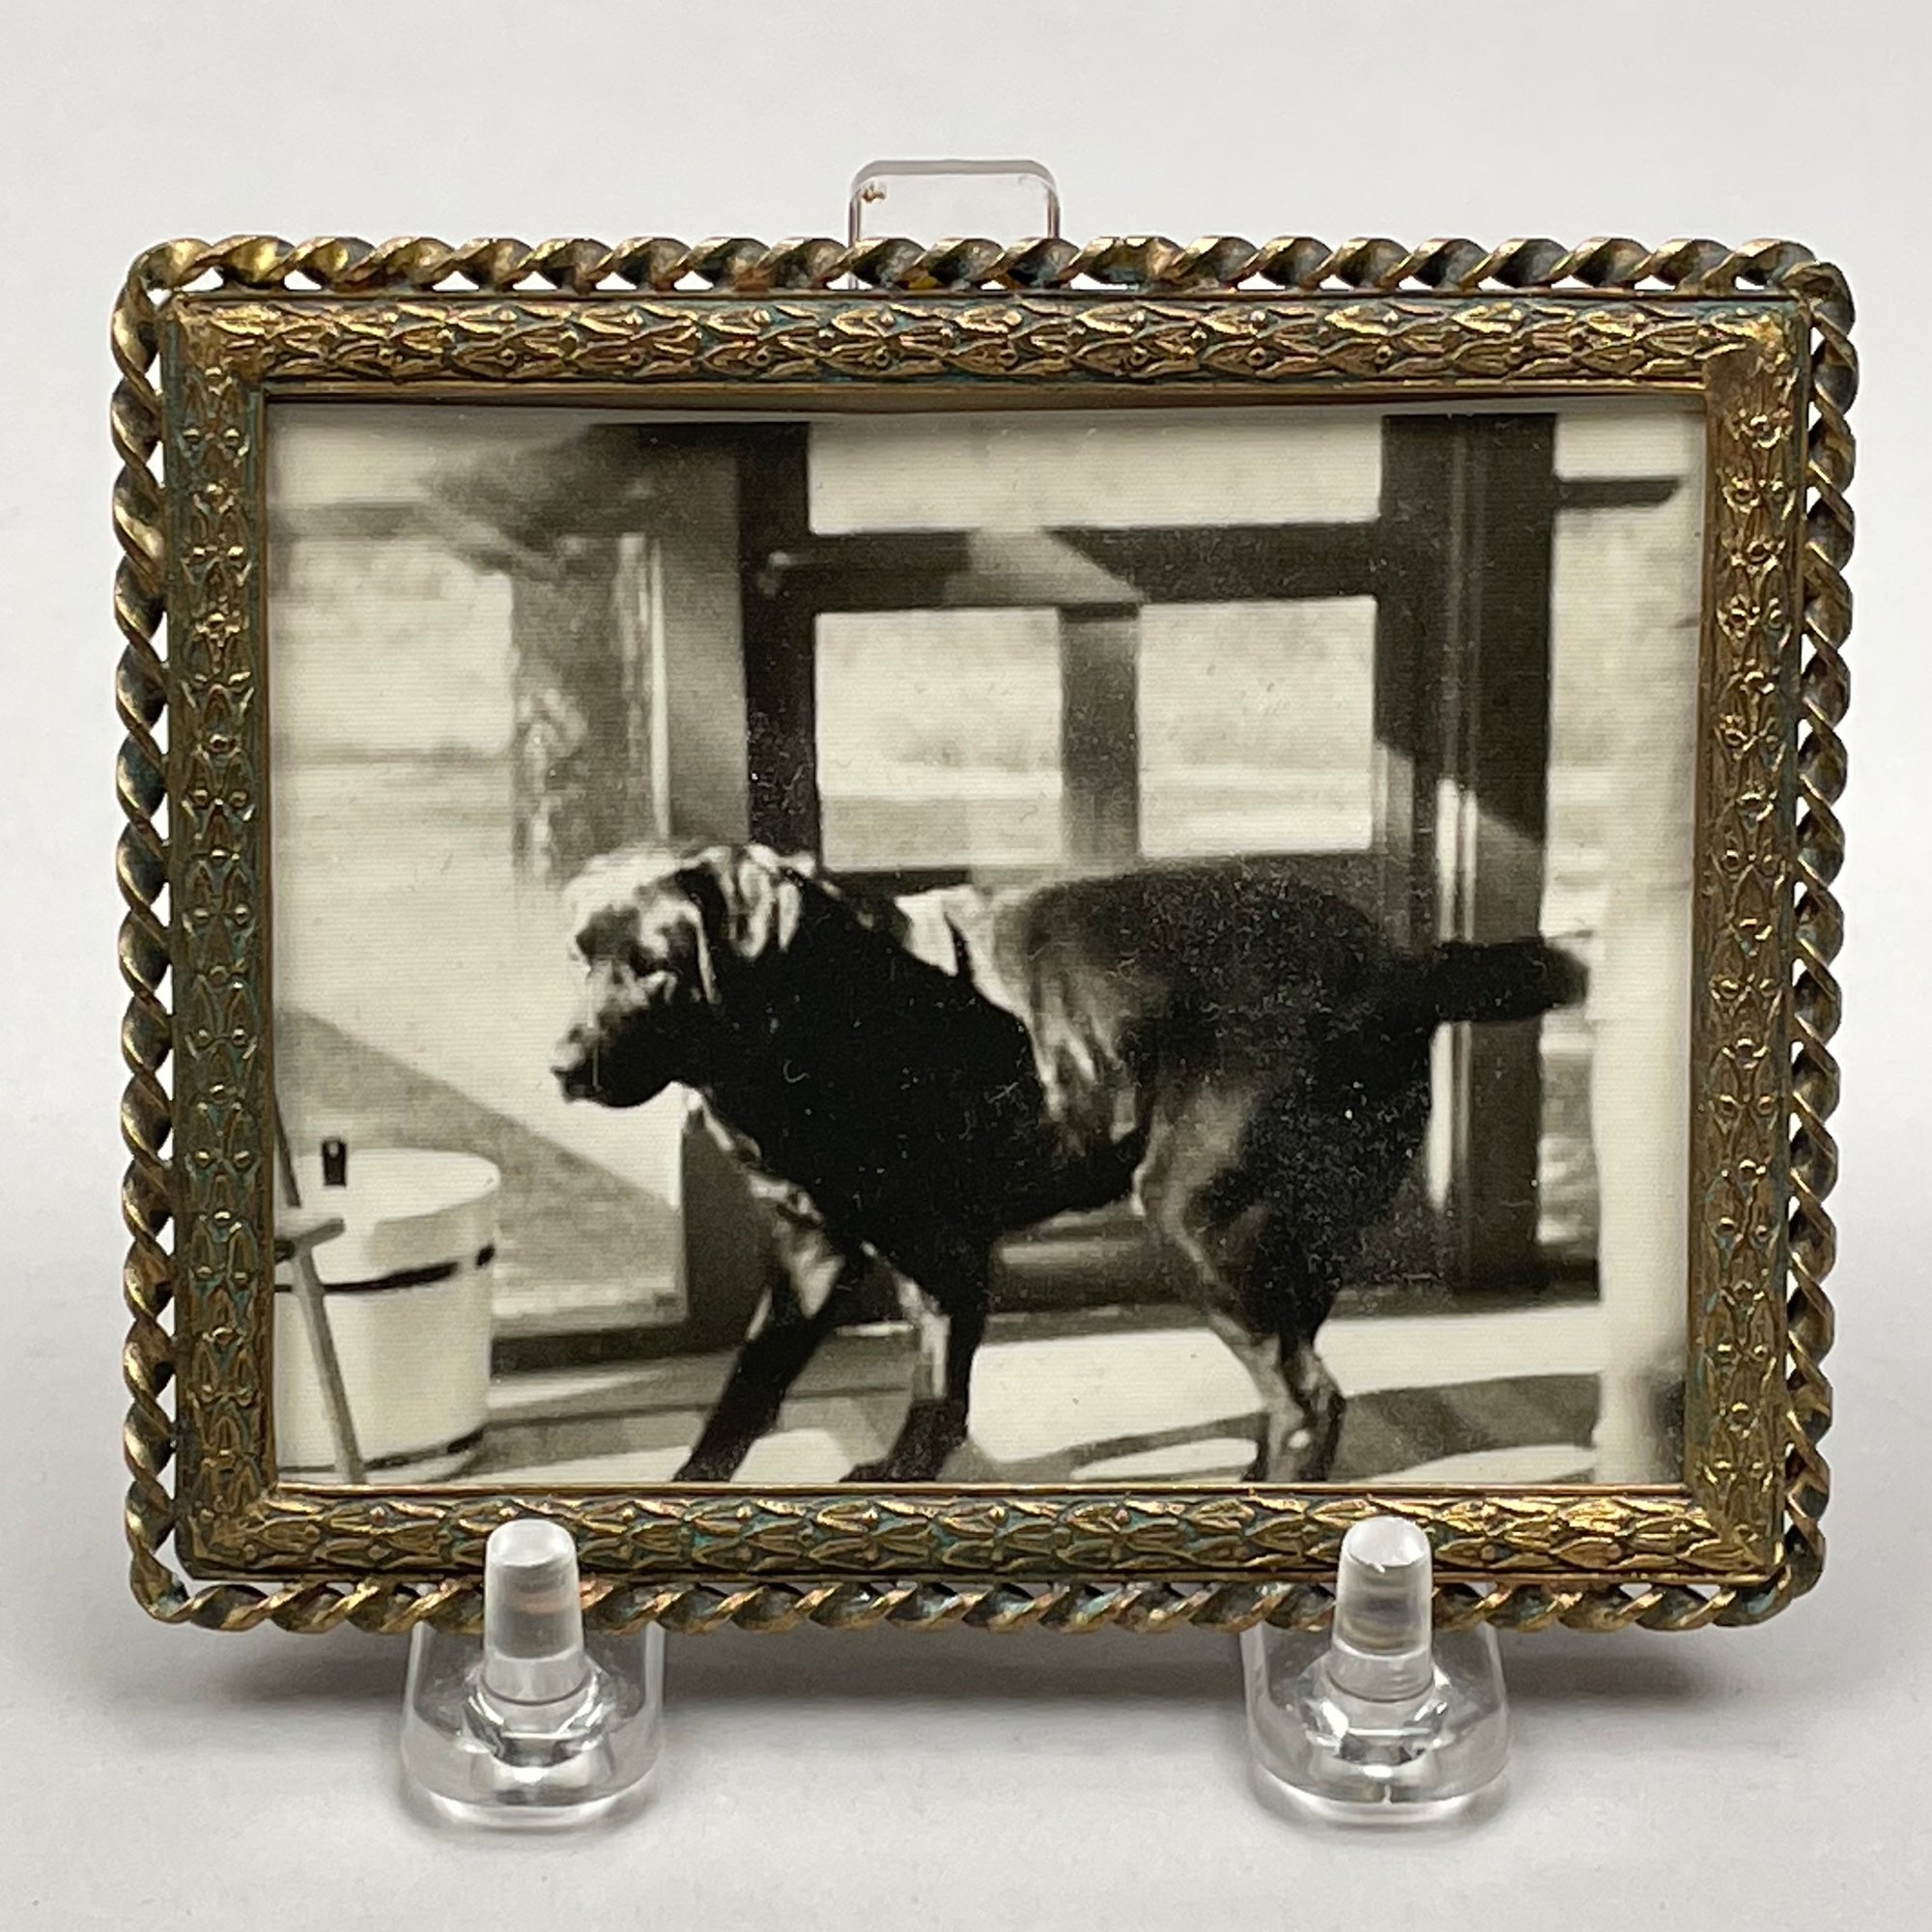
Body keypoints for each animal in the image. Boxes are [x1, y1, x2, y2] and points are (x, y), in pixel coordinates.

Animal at [552, 844, 1585, 1484]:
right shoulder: (814, 1252)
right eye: (579, 957)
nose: (560, 1066)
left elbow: (933, 1391)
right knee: (1293, 1377)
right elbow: (752, 1387)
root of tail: (1404, 968)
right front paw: (693, 1485)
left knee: (1308, 1399)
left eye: (656, 966)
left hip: (1199, 1219)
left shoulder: (941, 1254)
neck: (806, 1003)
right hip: (1292, 1244)